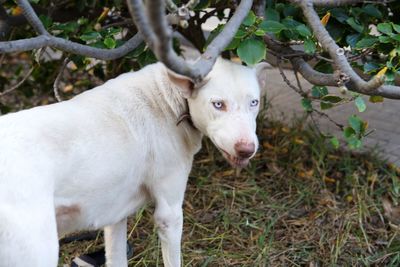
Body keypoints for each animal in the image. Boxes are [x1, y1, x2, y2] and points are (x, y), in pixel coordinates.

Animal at [0, 59, 268, 267]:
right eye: (218, 104)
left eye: (254, 103)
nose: (247, 149)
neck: (170, 99)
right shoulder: (169, 214)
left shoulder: (115, 216)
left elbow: (117, 258)